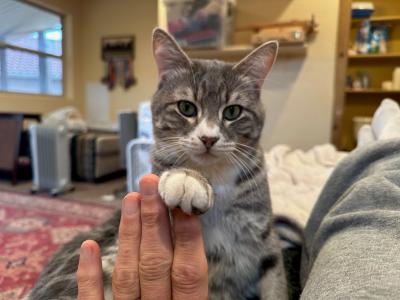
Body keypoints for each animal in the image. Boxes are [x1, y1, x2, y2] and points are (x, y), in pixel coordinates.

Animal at [25, 28, 288, 300]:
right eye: (186, 107)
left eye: (233, 112)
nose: (208, 138)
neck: (215, 176)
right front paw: (186, 178)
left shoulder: (266, 240)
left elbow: (276, 283)